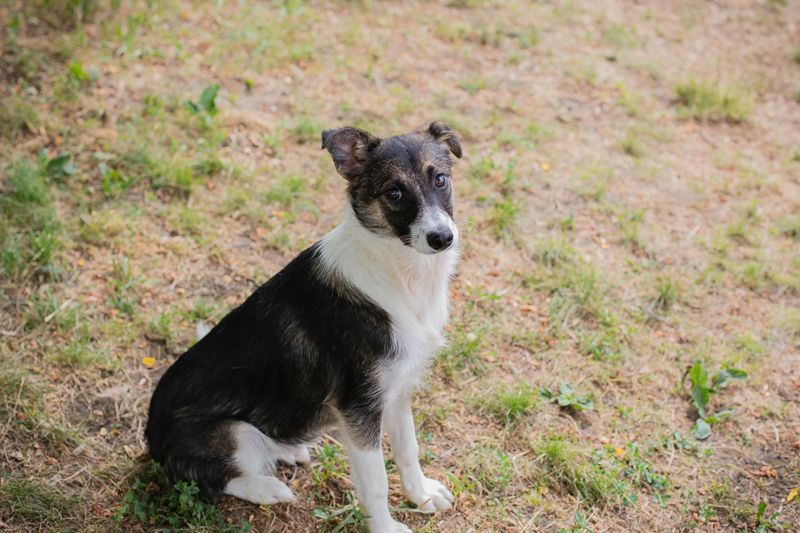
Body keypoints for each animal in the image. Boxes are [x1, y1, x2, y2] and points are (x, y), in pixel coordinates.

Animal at [145, 121, 462, 532]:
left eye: (440, 179)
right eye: (394, 192)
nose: (442, 238)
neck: (401, 272)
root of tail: (151, 440)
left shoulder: (395, 390)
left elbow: (409, 449)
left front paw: (421, 495)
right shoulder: (358, 407)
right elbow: (375, 482)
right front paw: (386, 527)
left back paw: (289, 449)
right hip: (231, 434)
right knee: (214, 478)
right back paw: (267, 488)